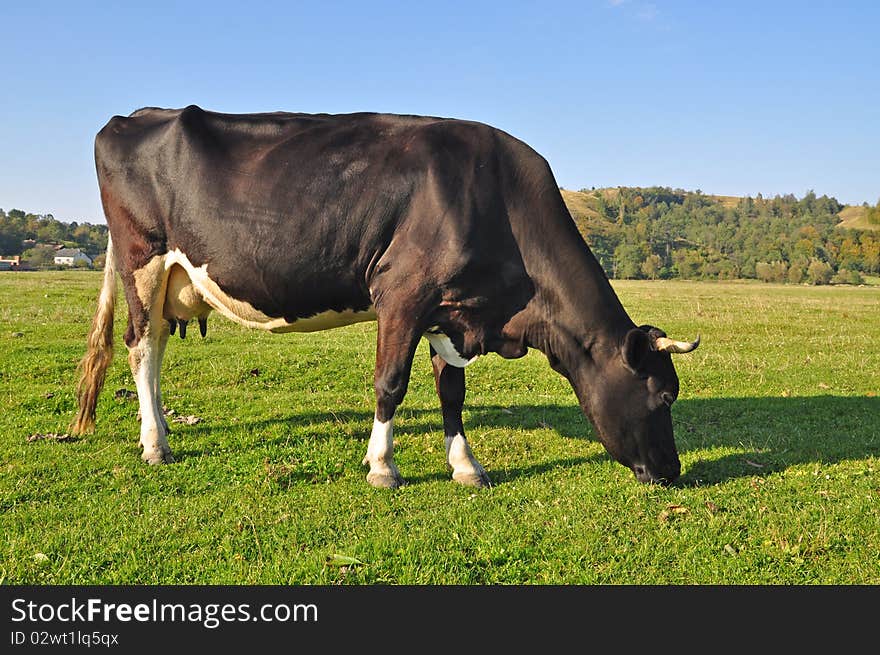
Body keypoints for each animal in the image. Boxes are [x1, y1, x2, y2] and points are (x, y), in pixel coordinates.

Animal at [70, 106, 700, 486]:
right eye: (664, 396)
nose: (673, 472)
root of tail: (134, 116)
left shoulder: (452, 311)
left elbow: (452, 392)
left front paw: (465, 465)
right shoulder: (403, 293)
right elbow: (390, 384)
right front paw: (382, 466)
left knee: (150, 347)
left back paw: (163, 430)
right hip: (143, 258)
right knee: (141, 349)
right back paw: (156, 443)